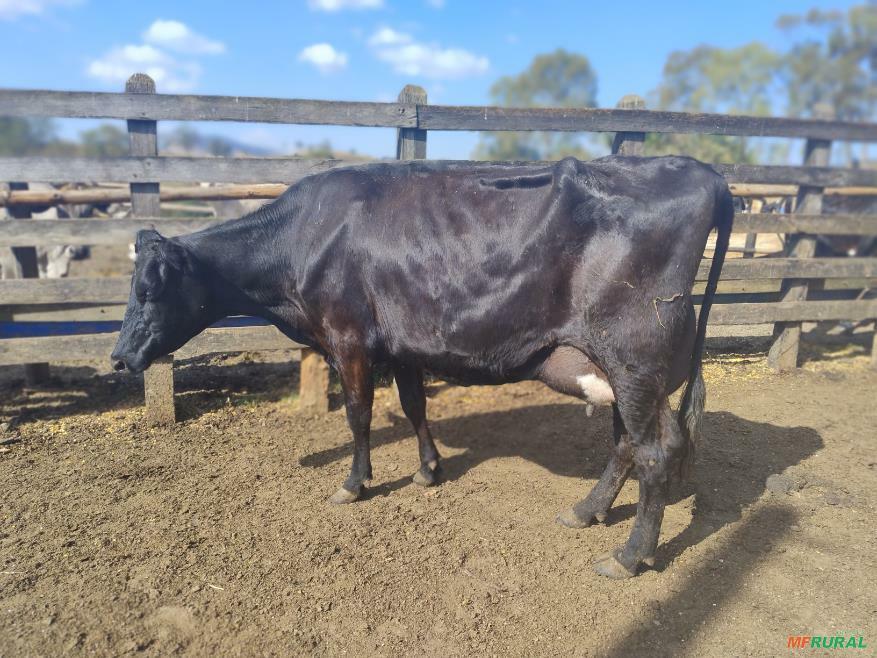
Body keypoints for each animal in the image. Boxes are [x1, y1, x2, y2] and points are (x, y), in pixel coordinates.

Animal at [111, 155, 732, 578]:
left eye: (148, 289)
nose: (119, 357)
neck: (302, 239)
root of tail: (705, 173)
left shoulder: (349, 339)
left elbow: (359, 415)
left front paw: (354, 484)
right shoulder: (402, 344)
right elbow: (413, 407)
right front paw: (429, 470)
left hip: (634, 360)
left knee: (653, 453)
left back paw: (629, 555)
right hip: (625, 373)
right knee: (630, 444)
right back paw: (585, 511)